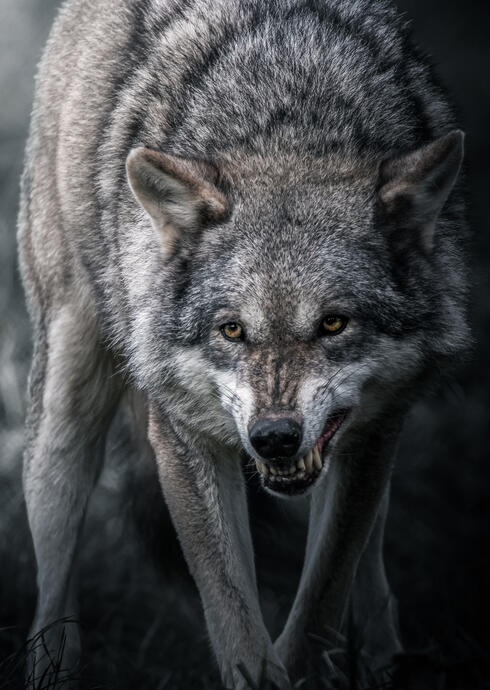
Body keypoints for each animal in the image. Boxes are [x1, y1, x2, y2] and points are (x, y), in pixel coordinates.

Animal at [18, 0, 469, 687]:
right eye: (232, 329)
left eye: (333, 324)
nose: (274, 438)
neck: (289, 127)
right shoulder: (183, 433)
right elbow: (234, 615)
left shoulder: (375, 427)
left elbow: (323, 592)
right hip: (68, 396)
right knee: (52, 552)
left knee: (373, 542)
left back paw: (382, 652)